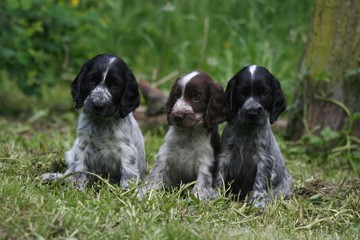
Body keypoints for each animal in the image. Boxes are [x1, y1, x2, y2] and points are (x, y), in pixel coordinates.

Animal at [43, 53, 146, 188]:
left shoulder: (127, 151)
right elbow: (79, 169)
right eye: (91, 80)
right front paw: (77, 189)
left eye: (115, 85)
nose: (98, 105)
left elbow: (128, 174)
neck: (101, 122)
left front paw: (128, 191)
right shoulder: (83, 146)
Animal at [146, 71, 225, 201]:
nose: (177, 115)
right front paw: (147, 192)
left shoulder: (205, 160)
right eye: (176, 96)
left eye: (197, 97)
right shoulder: (165, 152)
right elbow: (157, 173)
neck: (188, 133)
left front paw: (197, 199)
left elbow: (202, 183)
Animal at [215, 64, 292, 207]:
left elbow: (259, 182)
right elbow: (219, 176)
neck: (247, 131)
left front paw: (257, 204)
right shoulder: (224, 154)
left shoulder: (264, 159)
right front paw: (215, 196)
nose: (252, 112)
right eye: (241, 93)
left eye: (264, 93)